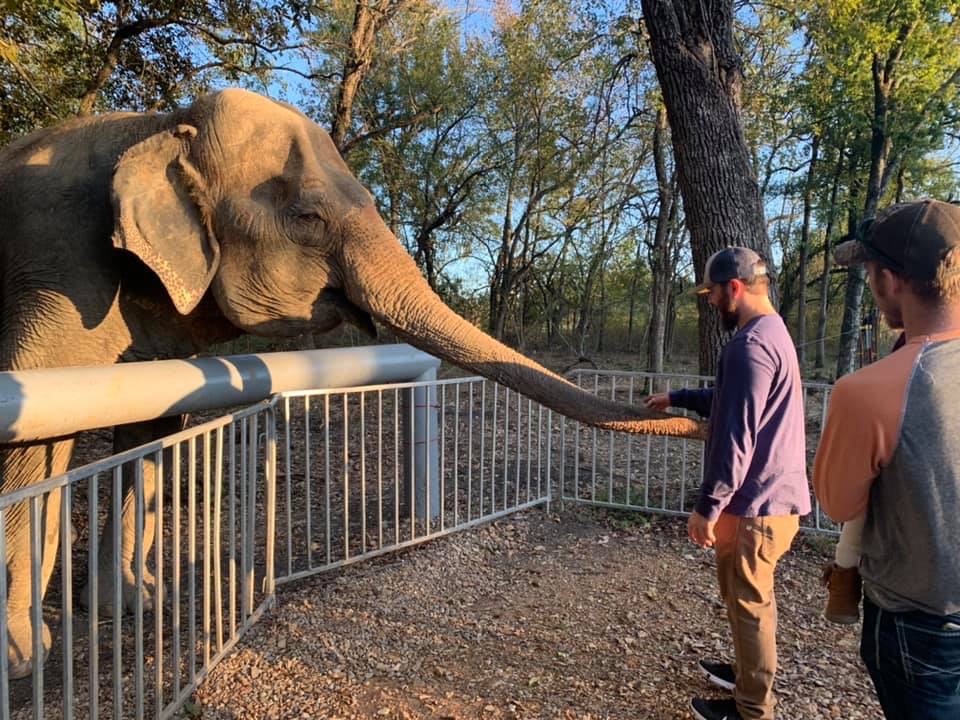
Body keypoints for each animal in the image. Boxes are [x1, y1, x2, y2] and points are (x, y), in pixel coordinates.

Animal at [0, 88, 702, 679]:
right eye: (309, 215)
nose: (692, 415)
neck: (160, 124)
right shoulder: (62, 270)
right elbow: (31, 441)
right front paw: (24, 659)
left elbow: (149, 433)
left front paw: (135, 605)